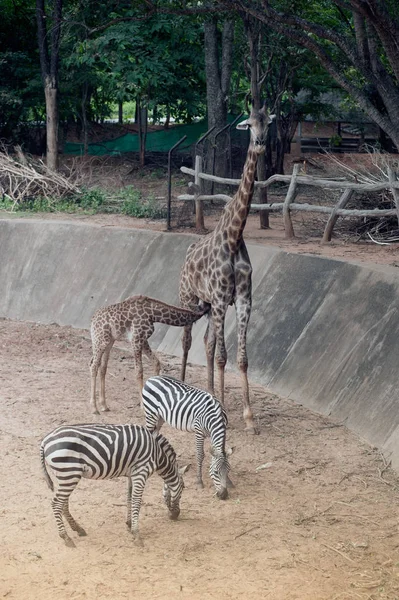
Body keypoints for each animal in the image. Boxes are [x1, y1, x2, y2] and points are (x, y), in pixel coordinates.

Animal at [40, 422, 189, 548]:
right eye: (183, 488)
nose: (175, 515)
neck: (157, 453)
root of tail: (45, 439)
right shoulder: (141, 472)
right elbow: (136, 501)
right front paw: (136, 534)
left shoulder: (132, 474)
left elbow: (129, 498)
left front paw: (129, 524)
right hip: (69, 473)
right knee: (56, 503)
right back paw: (66, 537)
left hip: (65, 475)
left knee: (63, 503)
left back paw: (78, 529)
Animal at [180, 103, 276, 432]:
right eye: (248, 124)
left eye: (267, 123)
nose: (260, 143)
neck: (234, 238)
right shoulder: (222, 300)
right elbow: (223, 356)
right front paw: (224, 411)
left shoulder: (244, 300)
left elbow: (240, 357)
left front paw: (248, 417)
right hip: (189, 298)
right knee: (188, 340)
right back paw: (181, 385)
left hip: (208, 306)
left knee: (207, 342)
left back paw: (210, 392)